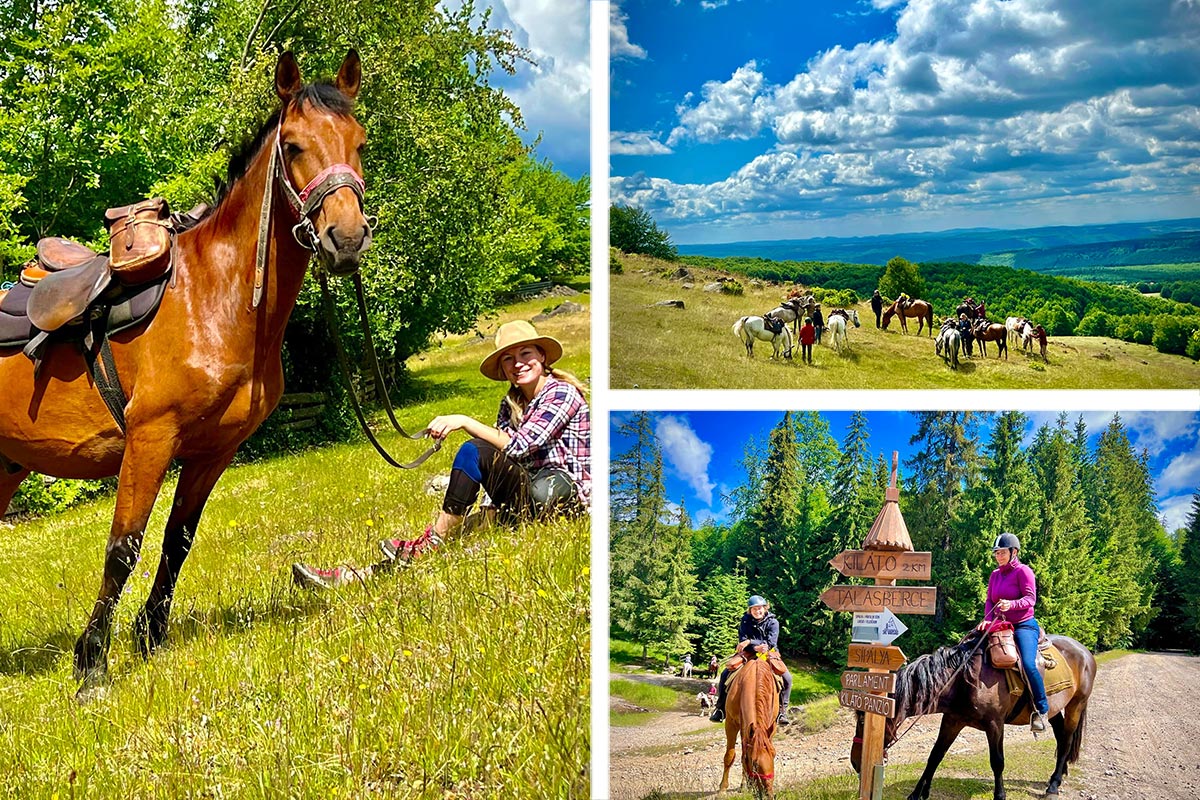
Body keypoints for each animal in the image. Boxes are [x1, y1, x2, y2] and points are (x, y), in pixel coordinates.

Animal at [0, 51, 372, 700]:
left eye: (360, 142)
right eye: (294, 145)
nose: (345, 240)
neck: (214, 297)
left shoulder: (212, 451)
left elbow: (177, 540)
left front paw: (150, 637)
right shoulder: (150, 440)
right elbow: (123, 548)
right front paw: (91, 665)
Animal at [715, 652, 782, 796]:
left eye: (774, 755)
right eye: (754, 762)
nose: (768, 794)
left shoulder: (770, 727)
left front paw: (747, 785)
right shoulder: (731, 724)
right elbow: (730, 756)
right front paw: (722, 789)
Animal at [844, 633, 1099, 800]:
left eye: (864, 721)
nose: (855, 762)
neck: (962, 679)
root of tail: (1083, 650)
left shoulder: (995, 725)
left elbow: (997, 761)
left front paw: (1000, 795)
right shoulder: (952, 721)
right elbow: (934, 756)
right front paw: (917, 794)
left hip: (1076, 705)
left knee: (1066, 740)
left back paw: (1054, 784)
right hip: (1053, 709)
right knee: (1059, 734)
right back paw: (1060, 773)